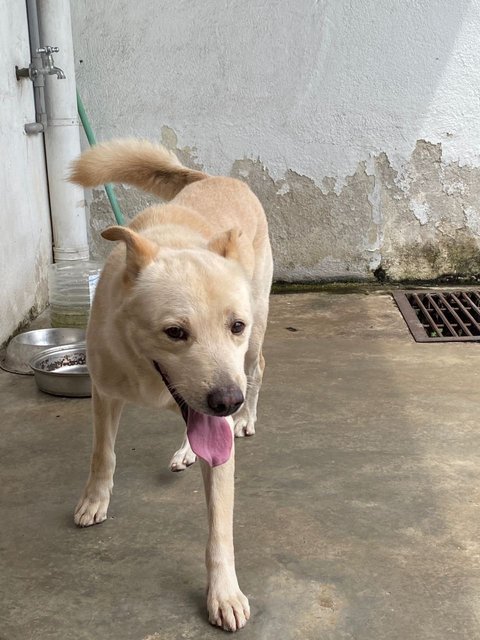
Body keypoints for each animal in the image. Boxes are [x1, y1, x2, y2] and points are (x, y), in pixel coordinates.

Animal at [70, 139, 276, 632]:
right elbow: (102, 453)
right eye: (175, 332)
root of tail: (214, 178)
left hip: (255, 338)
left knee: (257, 368)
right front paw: (94, 500)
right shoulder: (104, 392)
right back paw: (193, 444)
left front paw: (224, 593)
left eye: (234, 326)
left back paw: (245, 418)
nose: (228, 402)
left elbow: (220, 527)